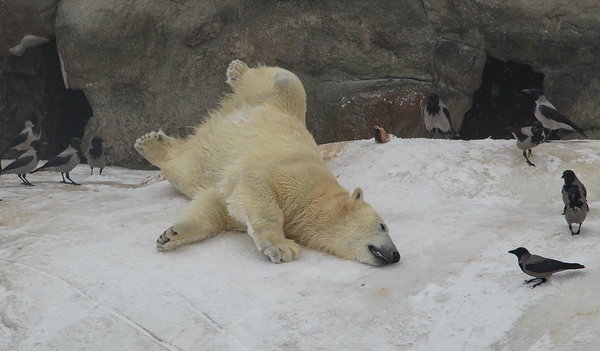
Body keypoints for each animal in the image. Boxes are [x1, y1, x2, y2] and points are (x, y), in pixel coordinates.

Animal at [134, 60, 400, 266]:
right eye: (382, 226)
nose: (395, 255)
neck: (315, 198)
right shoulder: (292, 173)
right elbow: (258, 186)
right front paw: (282, 247)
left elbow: (215, 208)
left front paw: (171, 235)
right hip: (280, 101)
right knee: (284, 80)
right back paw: (237, 71)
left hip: (202, 159)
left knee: (186, 170)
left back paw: (152, 143)